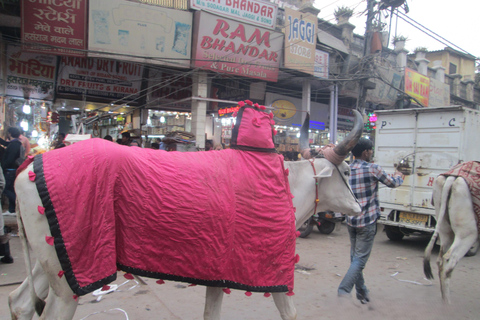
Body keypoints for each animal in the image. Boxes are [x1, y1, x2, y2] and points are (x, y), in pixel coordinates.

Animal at [8, 110, 364, 320]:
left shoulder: (220, 275)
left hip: (55, 266)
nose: (359, 209)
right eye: (347, 169)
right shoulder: (272, 271)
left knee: (20, 301)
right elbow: (289, 312)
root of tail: (29, 167)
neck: (284, 185)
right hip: (70, 282)